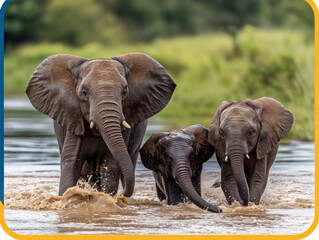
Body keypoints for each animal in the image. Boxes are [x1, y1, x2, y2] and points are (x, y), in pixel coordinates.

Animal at [26, 52, 176, 197]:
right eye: (84, 93)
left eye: (125, 92)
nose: (123, 194)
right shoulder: (73, 122)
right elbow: (71, 163)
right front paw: (68, 196)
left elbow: (111, 165)